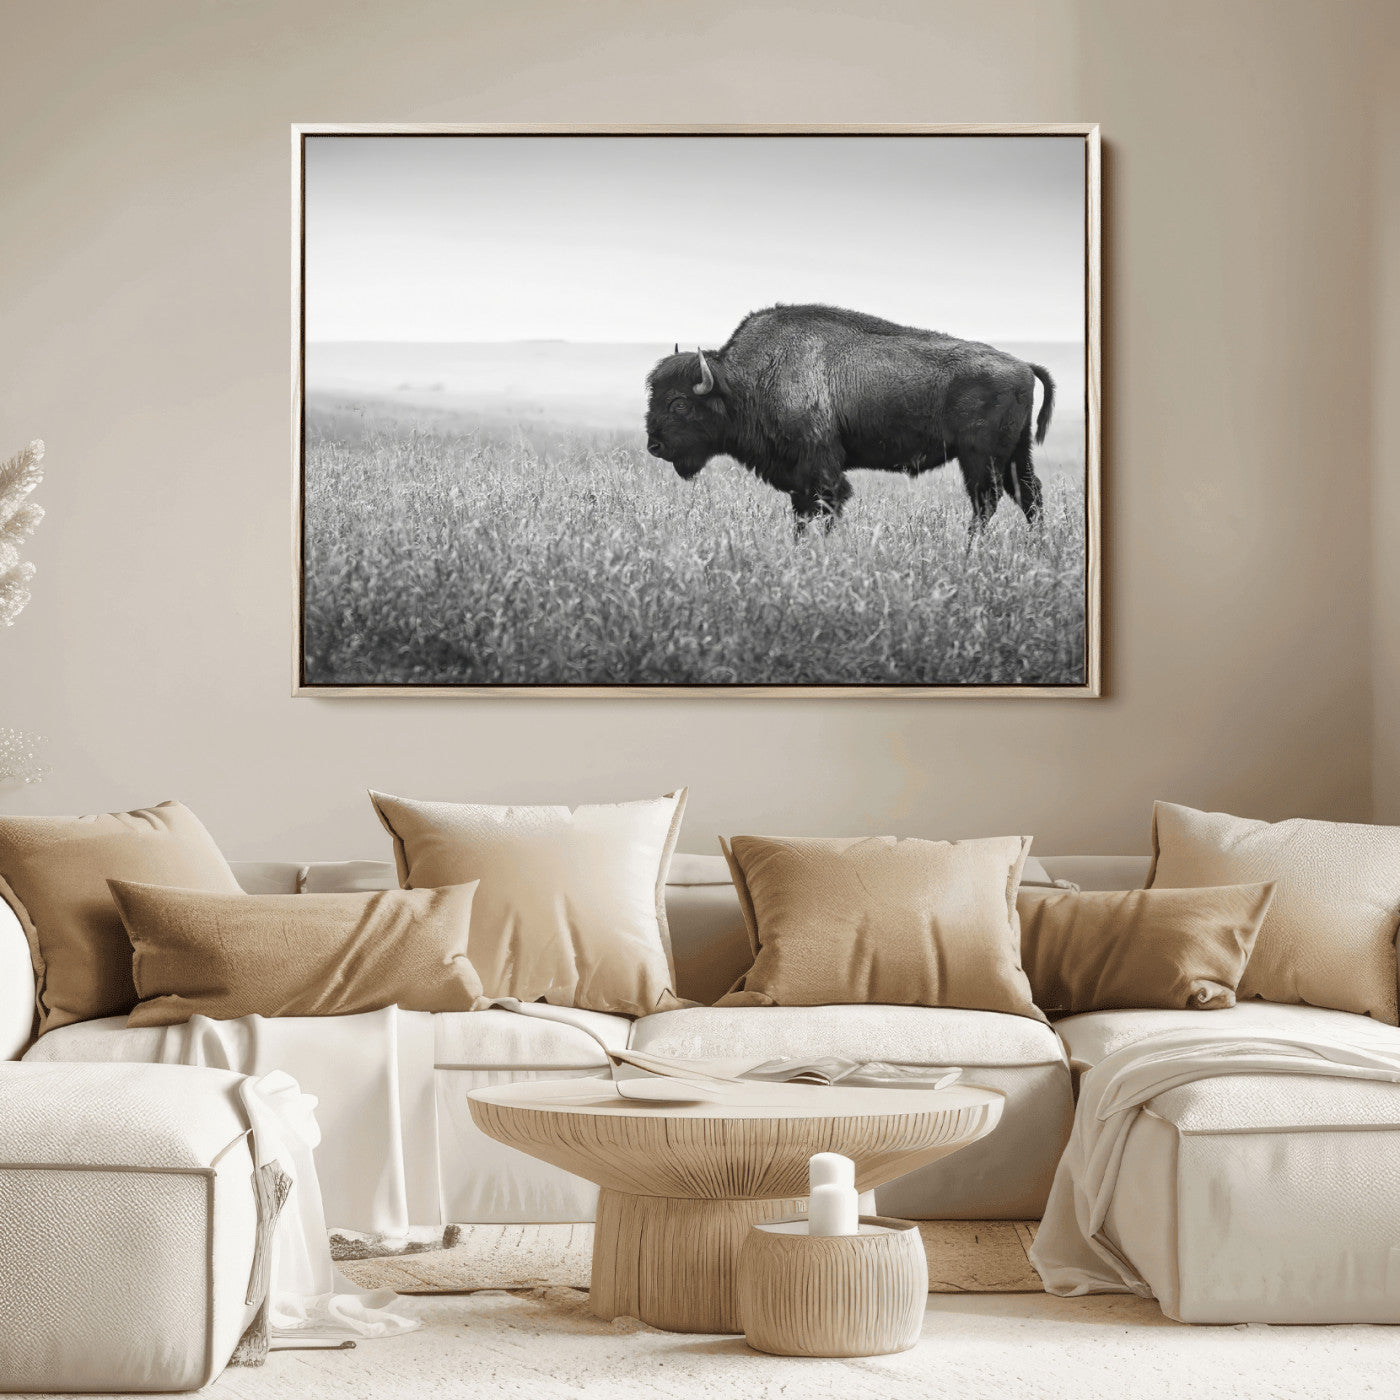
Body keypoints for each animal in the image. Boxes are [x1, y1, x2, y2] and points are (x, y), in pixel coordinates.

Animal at [644, 304, 1055, 531]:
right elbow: (802, 515)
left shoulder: (821, 470)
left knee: (986, 502)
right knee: (1029, 496)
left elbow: (825, 509)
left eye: (679, 403)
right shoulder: (798, 478)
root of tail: (1023, 365)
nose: (654, 446)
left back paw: (970, 550)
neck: (745, 381)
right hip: (1015, 454)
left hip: (980, 458)